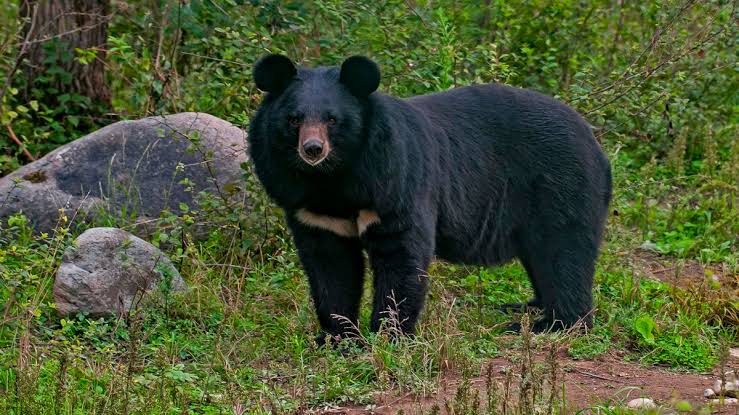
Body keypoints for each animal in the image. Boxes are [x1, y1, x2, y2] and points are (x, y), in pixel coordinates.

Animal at [249, 55, 612, 342]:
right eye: (294, 119)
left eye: (332, 119)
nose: (313, 149)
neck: (333, 179)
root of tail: (595, 143)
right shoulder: (311, 208)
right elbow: (330, 265)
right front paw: (338, 336)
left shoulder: (394, 181)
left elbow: (400, 253)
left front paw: (389, 335)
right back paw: (525, 307)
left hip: (560, 185)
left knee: (563, 252)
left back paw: (553, 323)